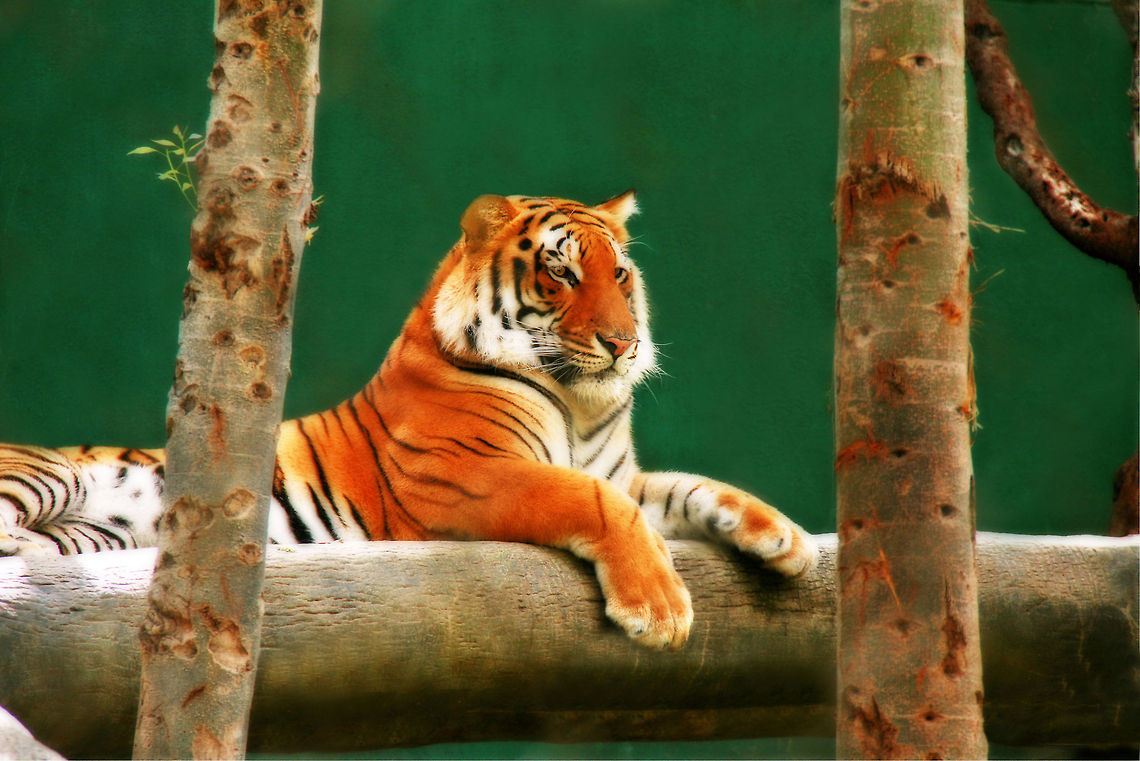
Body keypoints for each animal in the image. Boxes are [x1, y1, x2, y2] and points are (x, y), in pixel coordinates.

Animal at [0, 192, 816, 650]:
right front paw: (660, 609)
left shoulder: (624, 472)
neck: (585, 405)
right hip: (49, 471)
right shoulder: (461, 477)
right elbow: (596, 503)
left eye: (619, 273)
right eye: (561, 273)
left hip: (93, 534)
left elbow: (688, 486)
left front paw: (783, 537)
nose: (624, 343)